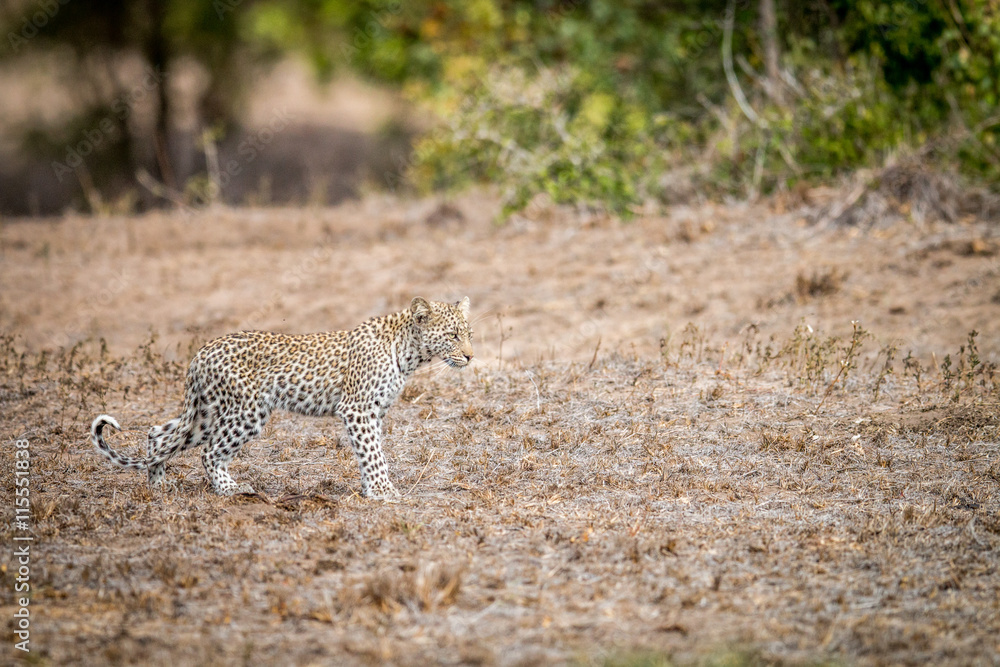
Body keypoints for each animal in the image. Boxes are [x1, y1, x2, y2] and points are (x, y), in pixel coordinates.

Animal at [90, 297, 473, 499]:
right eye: (453, 336)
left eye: (469, 333)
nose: (471, 356)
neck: (409, 352)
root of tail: (201, 352)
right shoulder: (357, 409)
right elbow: (374, 455)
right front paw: (384, 492)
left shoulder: (372, 412)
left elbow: (369, 453)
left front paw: (371, 490)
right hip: (246, 412)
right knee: (209, 452)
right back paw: (233, 489)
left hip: (207, 413)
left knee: (158, 434)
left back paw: (158, 488)